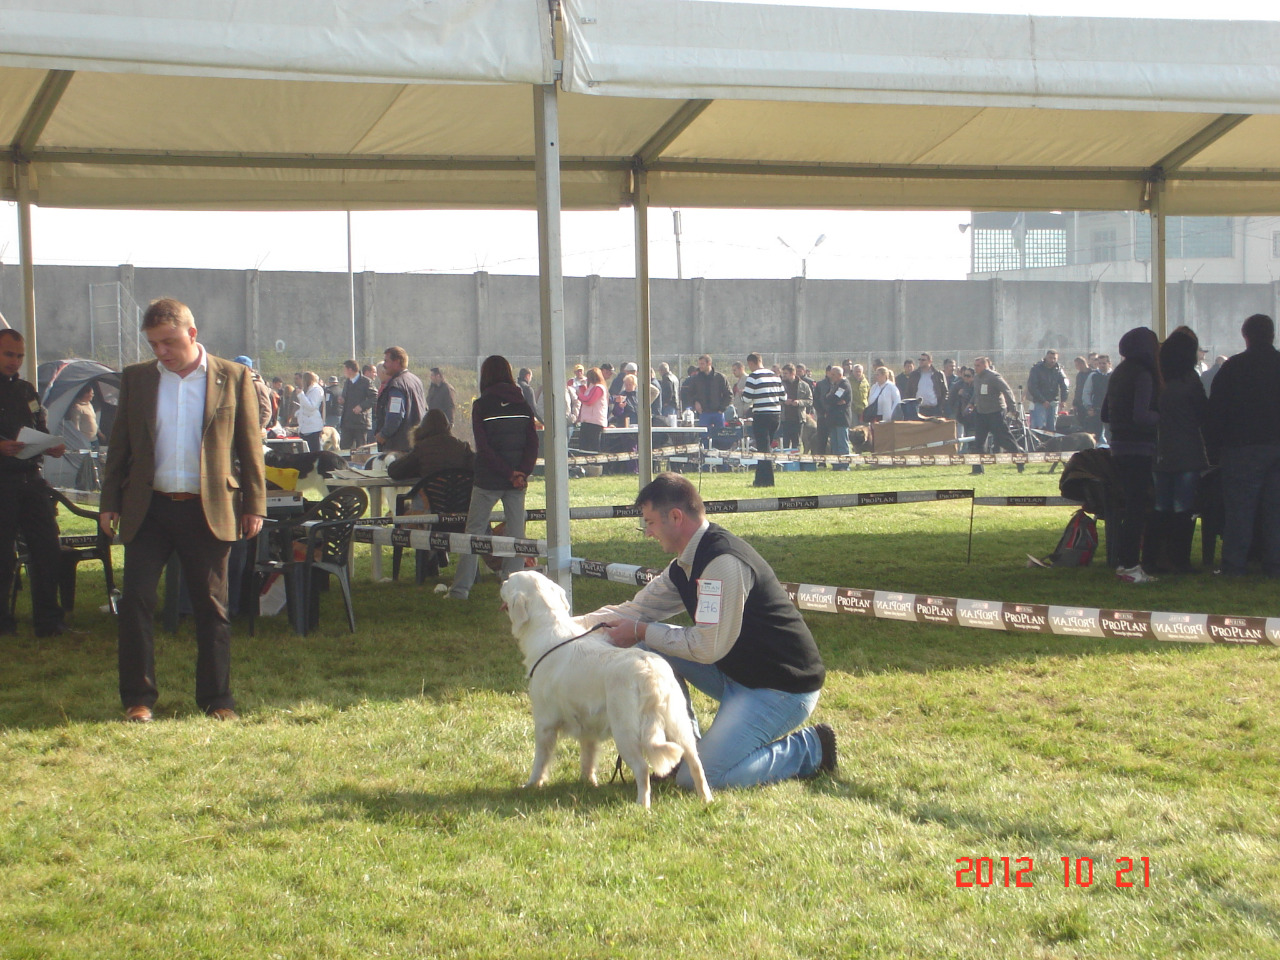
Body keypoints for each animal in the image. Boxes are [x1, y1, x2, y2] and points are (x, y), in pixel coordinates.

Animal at [500, 570, 713, 809]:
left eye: (509, 581)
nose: (502, 580)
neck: (549, 628)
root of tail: (649, 670)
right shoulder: (586, 724)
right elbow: (588, 755)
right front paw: (587, 781)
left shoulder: (545, 722)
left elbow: (540, 760)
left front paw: (531, 784)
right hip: (678, 723)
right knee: (695, 762)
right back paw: (706, 799)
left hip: (625, 732)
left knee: (642, 768)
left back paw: (642, 805)